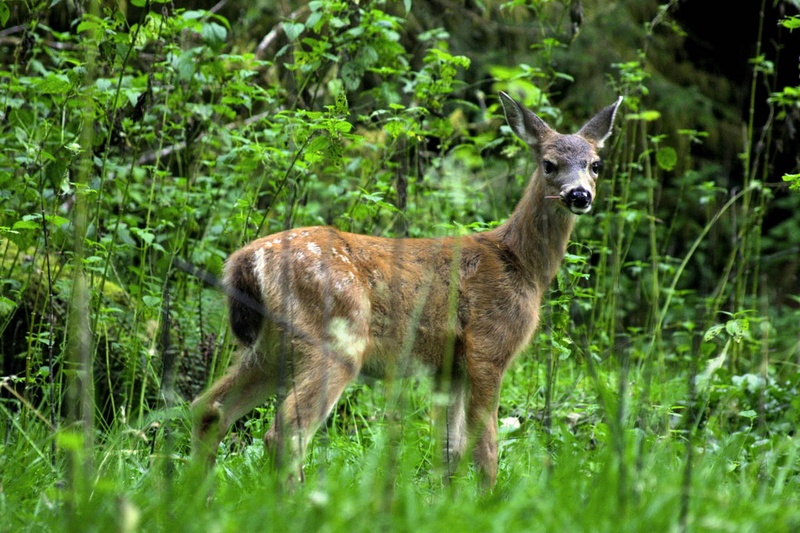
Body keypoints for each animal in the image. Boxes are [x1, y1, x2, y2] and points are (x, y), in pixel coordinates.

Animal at [191, 91, 622, 489]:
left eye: (595, 165)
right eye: (549, 163)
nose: (579, 195)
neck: (521, 264)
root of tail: (245, 261)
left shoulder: (448, 366)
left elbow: (449, 449)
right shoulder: (487, 346)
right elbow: (485, 447)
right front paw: (489, 499)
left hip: (270, 346)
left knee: (209, 408)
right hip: (335, 337)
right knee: (285, 431)